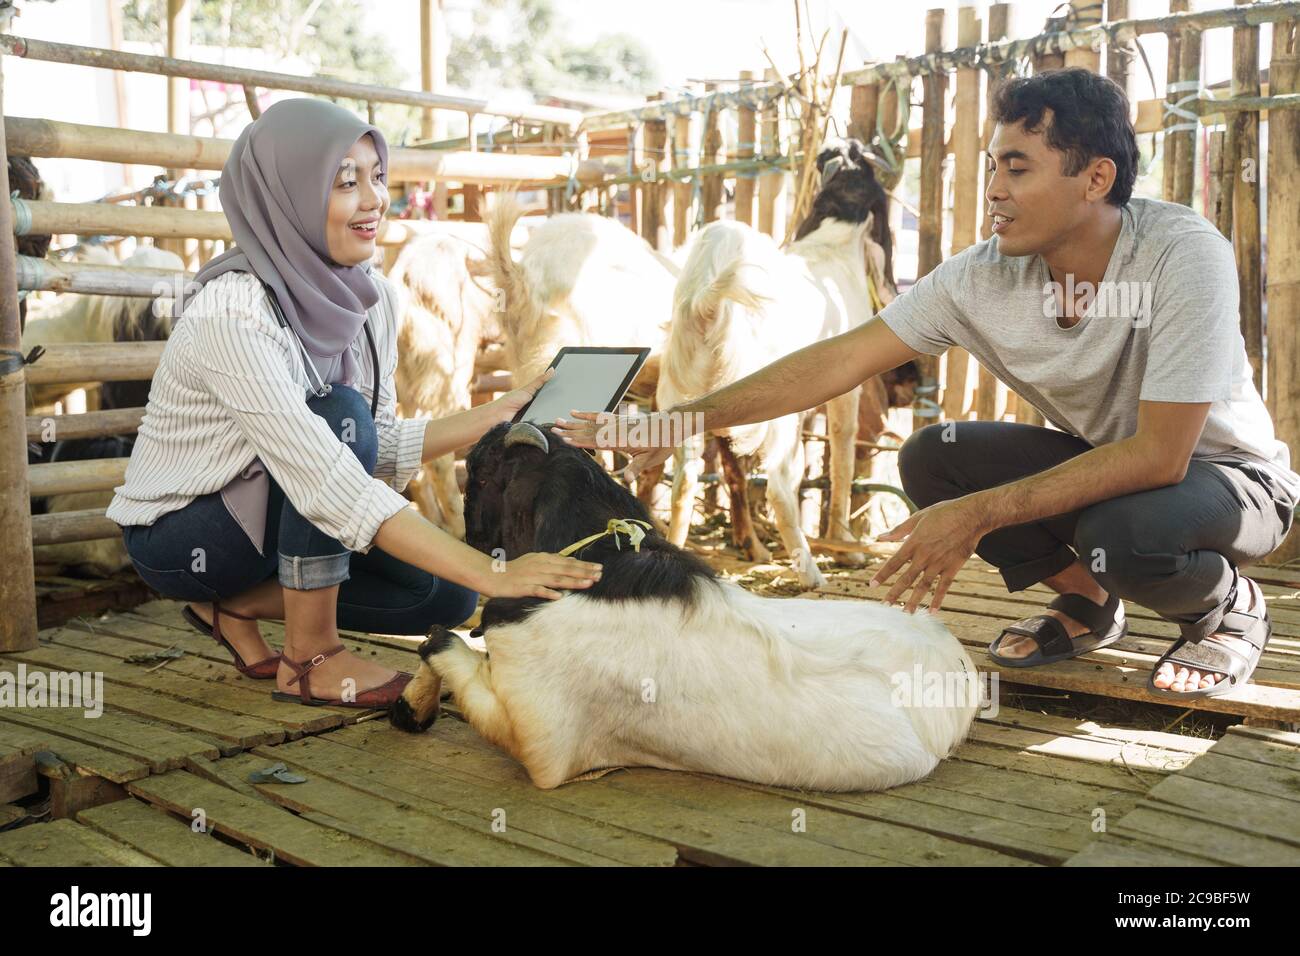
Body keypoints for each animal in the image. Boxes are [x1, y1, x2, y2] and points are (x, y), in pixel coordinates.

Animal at [390, 421, 977, 790]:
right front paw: (410, 706)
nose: (464, 538)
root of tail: (952, 654)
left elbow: (449, 650)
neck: (602, 559)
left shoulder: (542, 742)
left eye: (482, 474)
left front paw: (419, 688)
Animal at [660, 137, 894, 587]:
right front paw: (846, 549)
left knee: (684, 481)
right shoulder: (846, 389)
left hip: (681, 398)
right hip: (775, 416)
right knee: (780, 487)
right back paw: (810, 573)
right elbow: (842, 452)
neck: (833, 244)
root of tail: (705, 306)